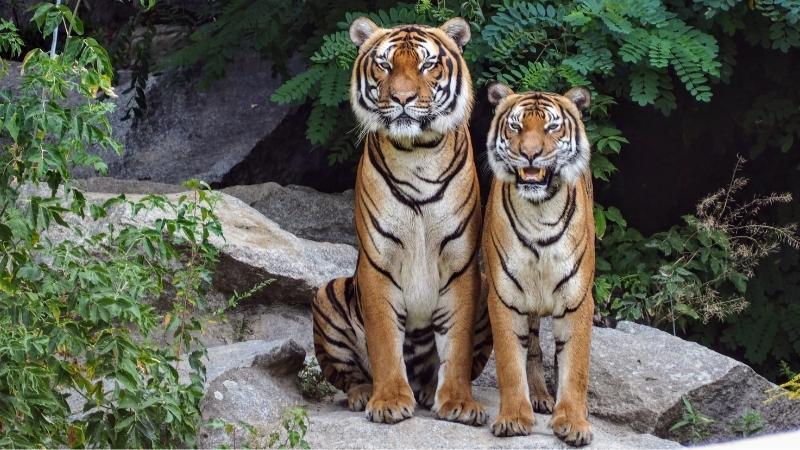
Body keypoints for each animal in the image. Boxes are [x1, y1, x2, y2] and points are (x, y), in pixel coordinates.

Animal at [311, 16, 492, 426]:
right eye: (385, 65)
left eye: (427, 65)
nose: (403, 99)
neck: (417, 153)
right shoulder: (379, 262)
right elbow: (383, 341)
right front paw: (390, 400)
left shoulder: (461, 264)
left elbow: (456, 347)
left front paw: (458, 402)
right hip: (328, 292)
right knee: (347, 375)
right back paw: (364, 393)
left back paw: (427, 391)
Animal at [481, 82, 595, 446]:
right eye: (516, 127)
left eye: (551, 127)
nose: (530, 153)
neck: (539, 212)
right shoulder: (504, 297)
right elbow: (509, 362)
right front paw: (513, 418)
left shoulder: (578, 300)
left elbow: (575, 368)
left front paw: (573, 422)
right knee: (532, 348)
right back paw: (540, 397)